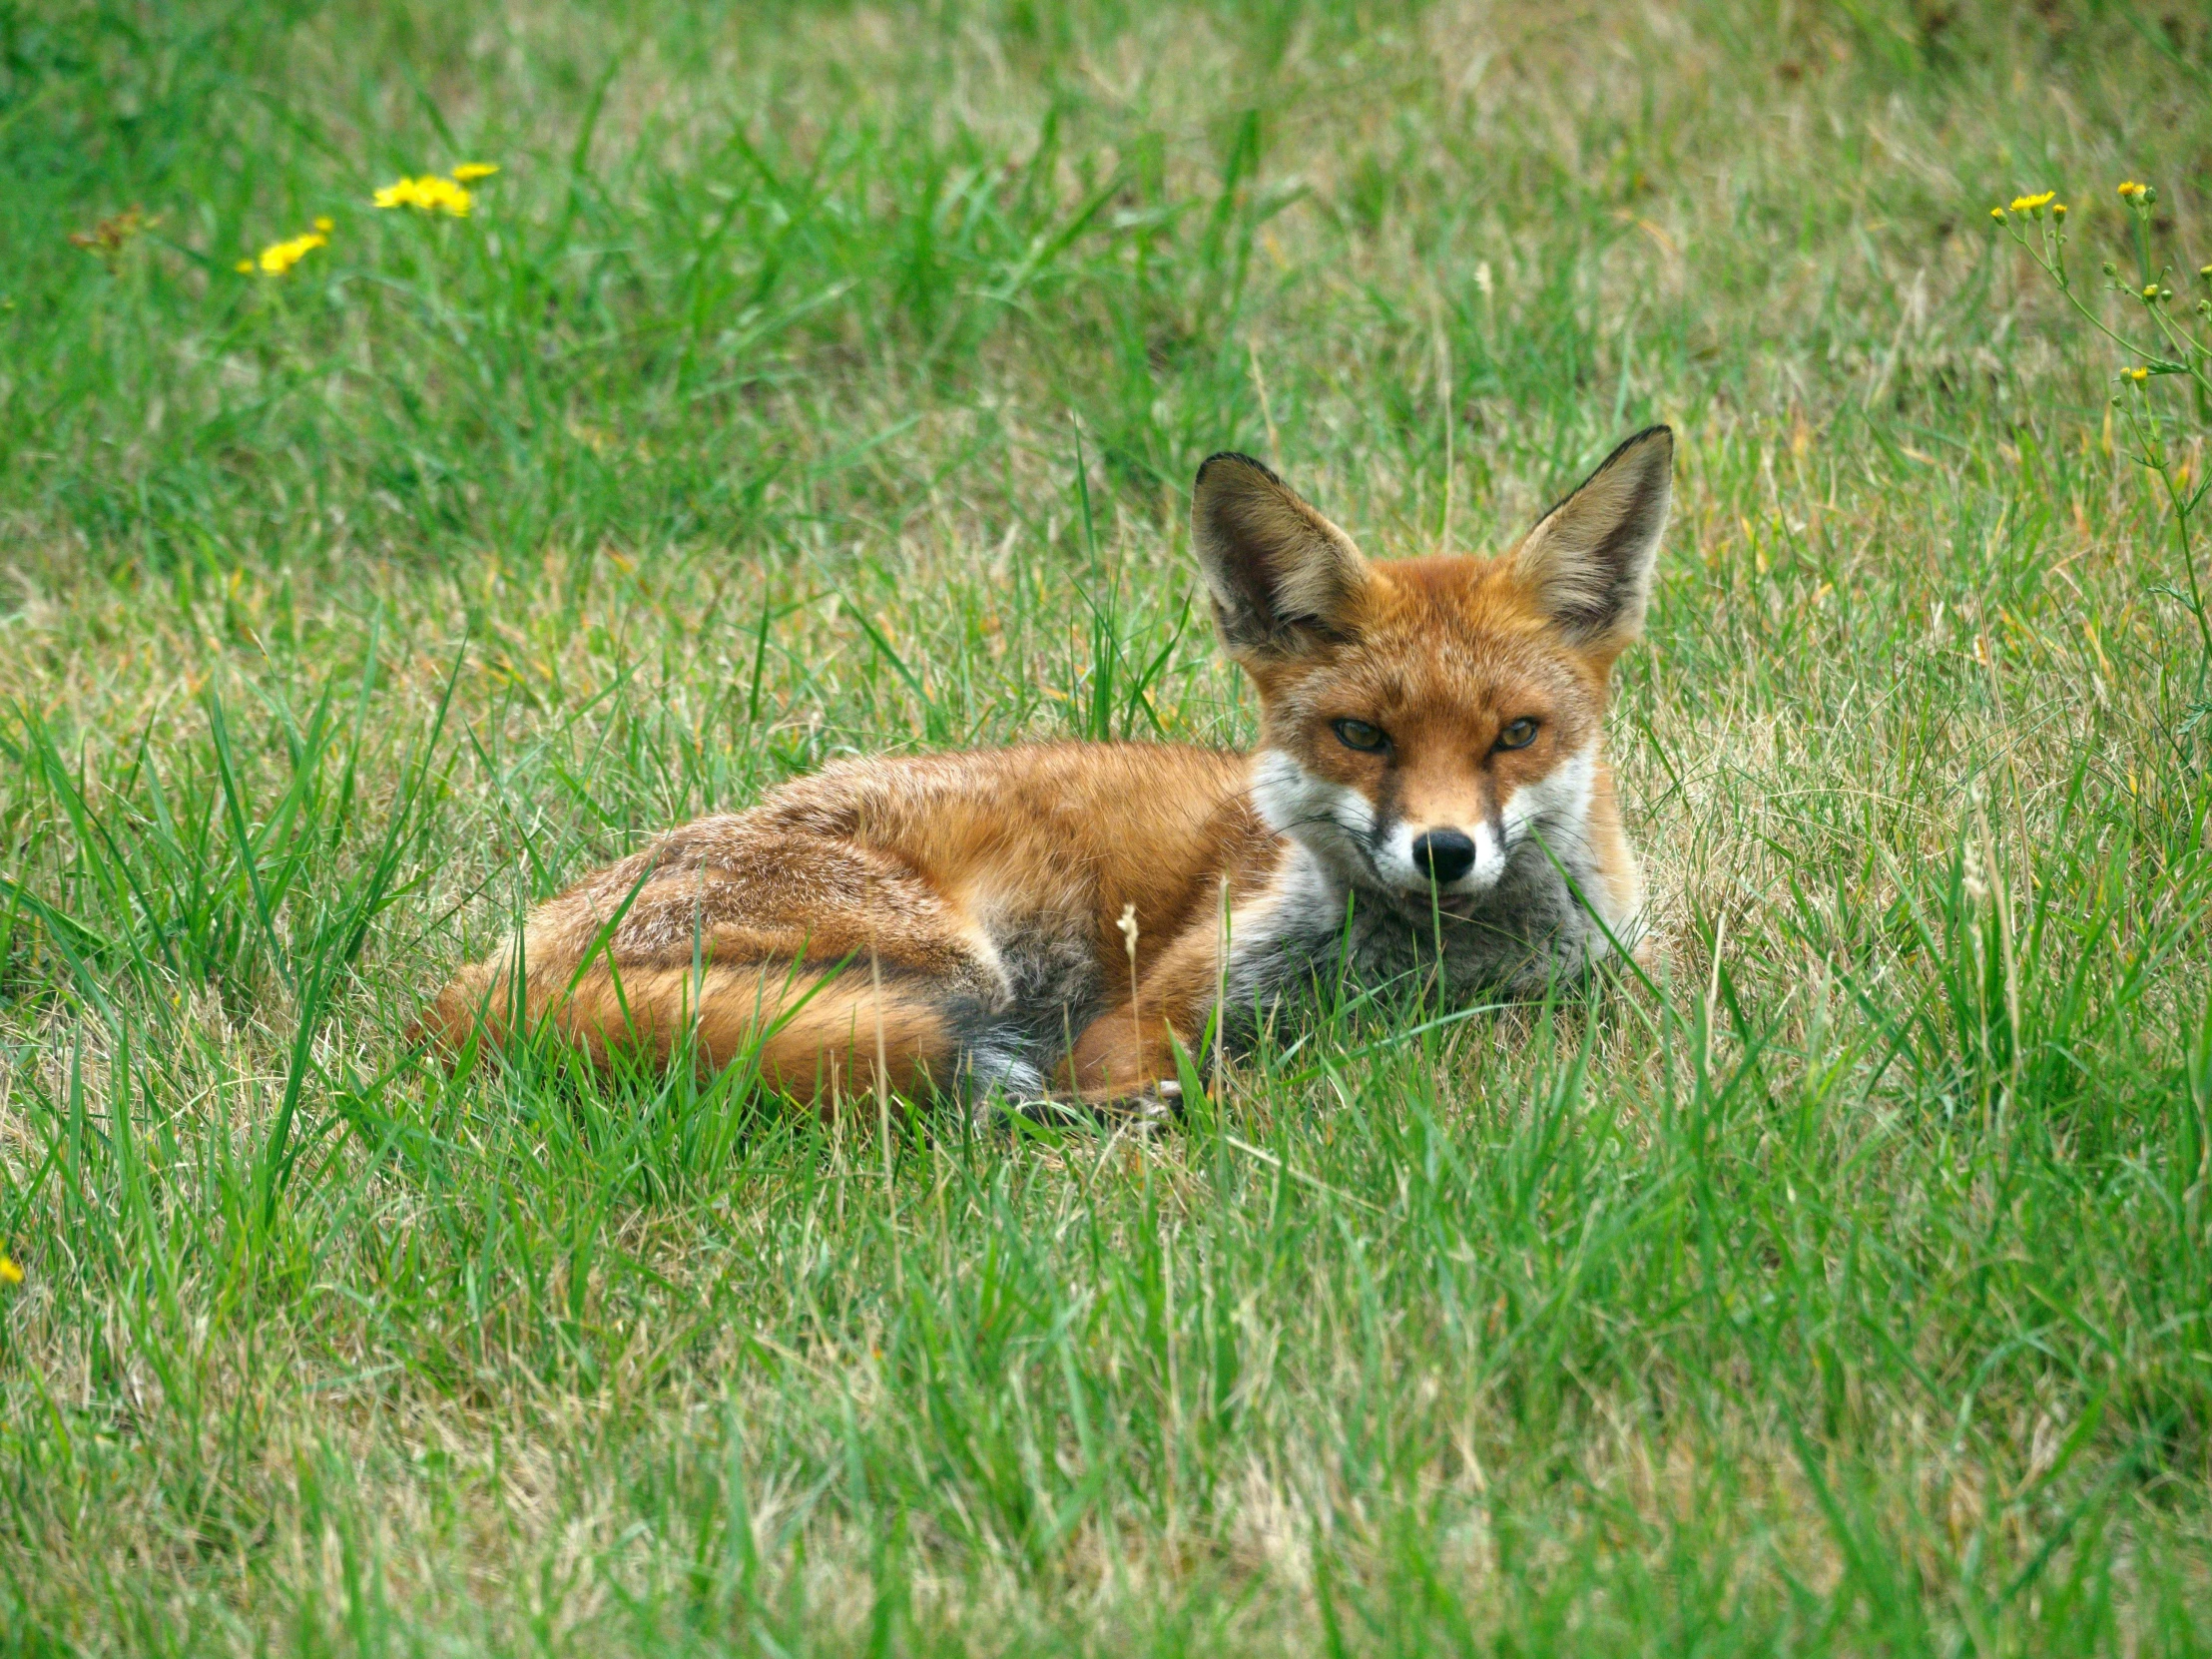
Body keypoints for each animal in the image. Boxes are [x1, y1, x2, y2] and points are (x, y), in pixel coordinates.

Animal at [415, 424, 1663, 1119]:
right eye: (1362, 736)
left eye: (1514, 735)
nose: (1443, 852)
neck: (1432, 980)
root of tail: (475, 986)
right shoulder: (1148, 1014)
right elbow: (1147, 1068)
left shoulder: (1602, 993)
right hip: (953, 965)